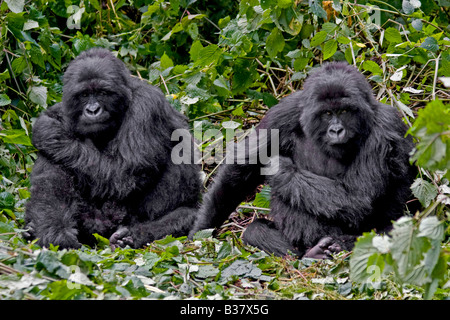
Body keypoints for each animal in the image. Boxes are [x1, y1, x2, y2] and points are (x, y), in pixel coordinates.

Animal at [24, 47, 200, 249]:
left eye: (103, 92)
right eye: (84, 95)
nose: (93, 110)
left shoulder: (147, 105)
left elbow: (122, 176)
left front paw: (49, 132)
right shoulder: (63, 112)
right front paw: (55, 231)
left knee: (186, 213)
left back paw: (135, 235)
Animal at [191, 61, 418, 258]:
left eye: (344, 111)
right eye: (327, 113)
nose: (336, 130)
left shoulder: (385, 125)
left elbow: (359, 196)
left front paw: (280, 169)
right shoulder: (284, 113)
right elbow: (242, 170)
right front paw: (201, 230)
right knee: (257, 227)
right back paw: (308, 250)